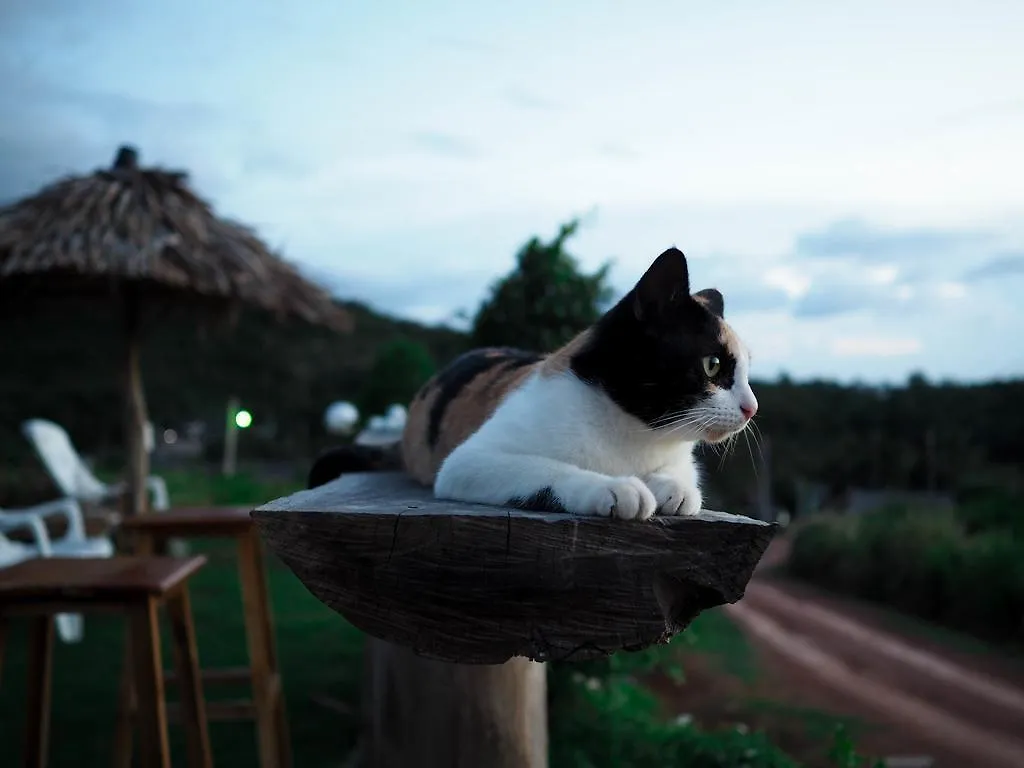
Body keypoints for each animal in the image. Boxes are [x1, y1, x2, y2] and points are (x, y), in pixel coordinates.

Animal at [401, 249, 761, 520]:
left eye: (745, 370)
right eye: (712, 365)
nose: (752, 408)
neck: (636, 436)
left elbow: (681, 475)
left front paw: (672, 488)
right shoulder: (468, 462)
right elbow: (549, 469)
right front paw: (614, 487)